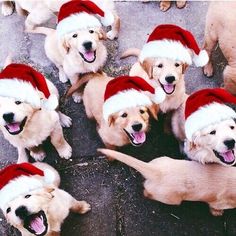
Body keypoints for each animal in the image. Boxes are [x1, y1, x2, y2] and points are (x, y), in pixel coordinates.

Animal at [99, 148, 236, 217]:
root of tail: (156, 170)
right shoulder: (221, 202)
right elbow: (216, 206)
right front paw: (217, 213)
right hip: (172, 199)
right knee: (146, 192)